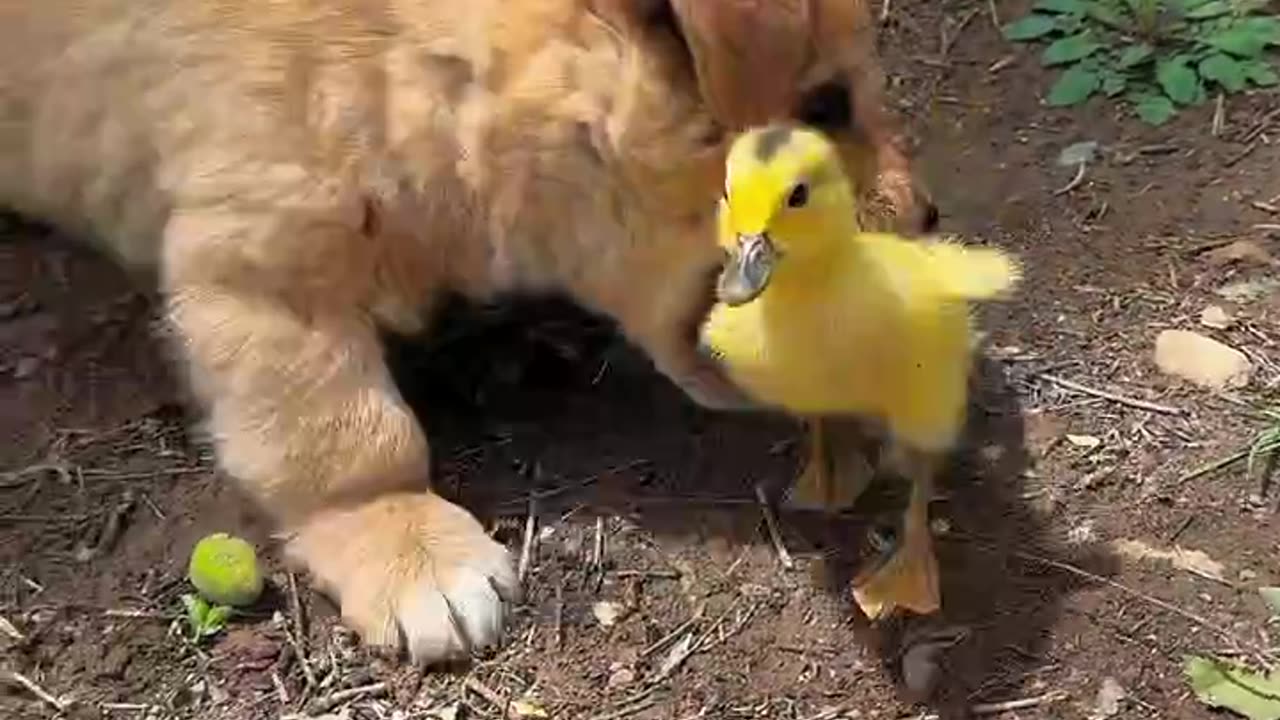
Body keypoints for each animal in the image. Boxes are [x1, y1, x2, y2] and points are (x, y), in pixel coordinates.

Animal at [2, 0, 942, 661]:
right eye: (828, 102)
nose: (932, 219)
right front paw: (412, 552)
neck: (422, 68)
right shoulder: (263, 267)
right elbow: (348, 439)